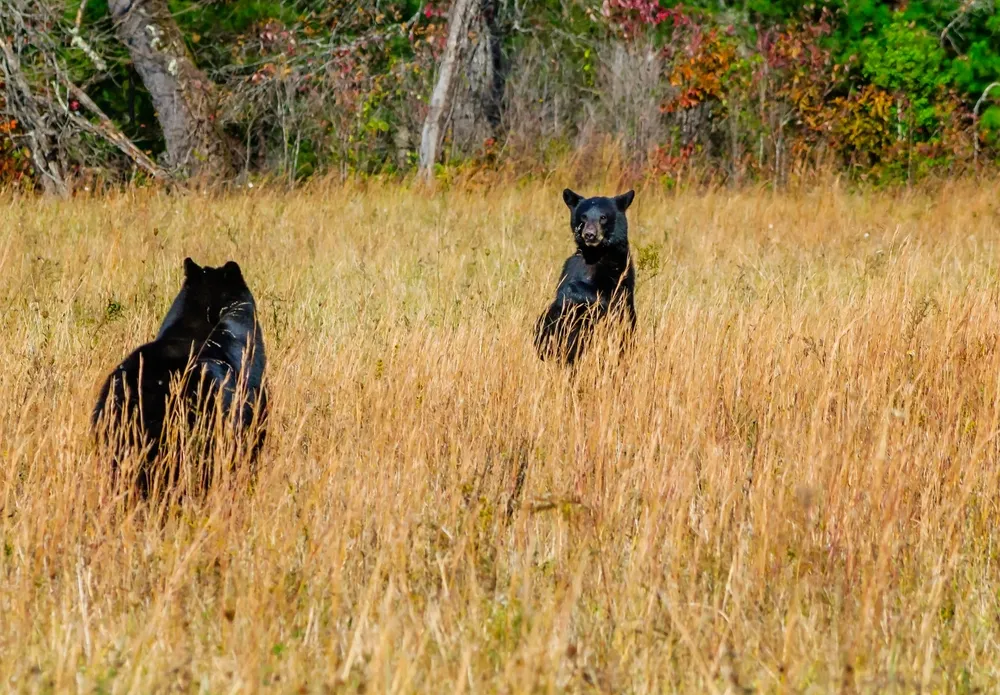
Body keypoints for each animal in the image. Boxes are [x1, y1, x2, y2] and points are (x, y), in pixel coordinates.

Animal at [534, 188, 637, 365]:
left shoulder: (618, 269)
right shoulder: (572, 265)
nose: (589, 234)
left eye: (603, 217)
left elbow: (608, 296)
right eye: (584, 216)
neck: (594, 254)